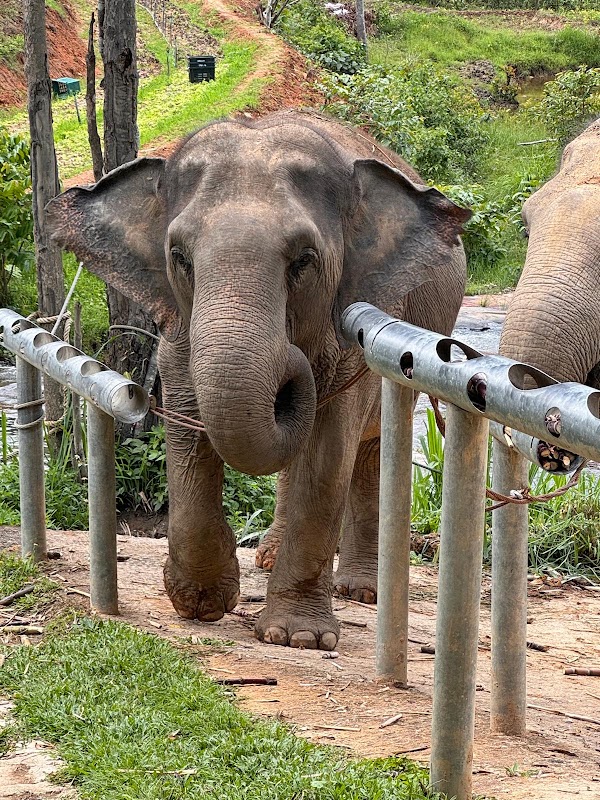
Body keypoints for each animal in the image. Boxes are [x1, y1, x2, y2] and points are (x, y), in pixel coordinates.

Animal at [47, 111, 470, 650]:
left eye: (304, 259)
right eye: (179, 256)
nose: (289, 360)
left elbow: (328, 452)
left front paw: (298, 638)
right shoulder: (178, 331)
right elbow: (189, 426)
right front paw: (201, 603)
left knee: (370, 449)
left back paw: (359, 591)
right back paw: (267, 558)